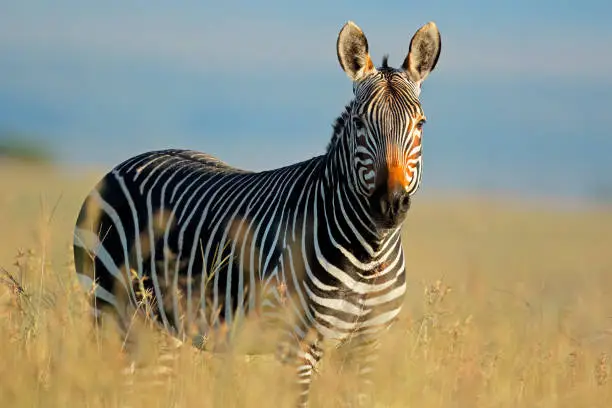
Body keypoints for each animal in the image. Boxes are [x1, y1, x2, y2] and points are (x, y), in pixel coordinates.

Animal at [74, 19, 442, 408]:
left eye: (420, 124)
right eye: (359, 123)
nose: (390, 204)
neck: (369, 253)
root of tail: (127, 163)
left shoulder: (366, 346)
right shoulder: (297, 344)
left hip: (159, 324)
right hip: (110, 309)